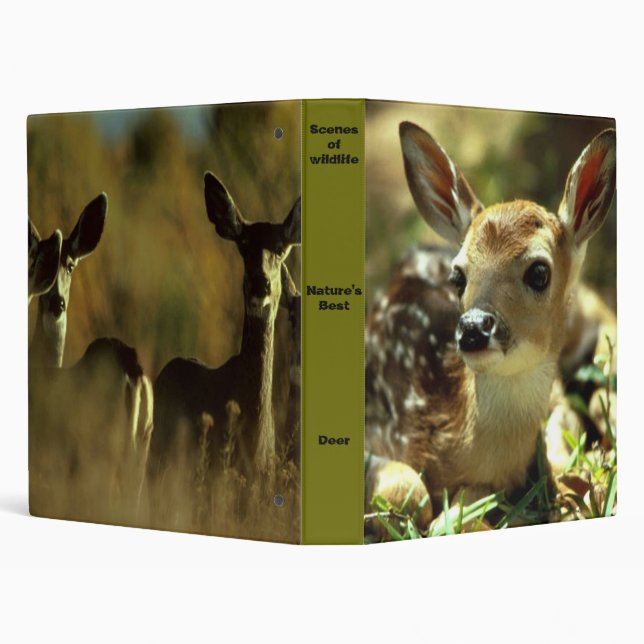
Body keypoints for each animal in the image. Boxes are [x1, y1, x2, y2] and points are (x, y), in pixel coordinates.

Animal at [28, 193, 153, 520]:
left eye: (70, 265)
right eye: (36, 260)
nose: (57, 302)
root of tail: (133, 374)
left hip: (101, 451)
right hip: (141, 448)